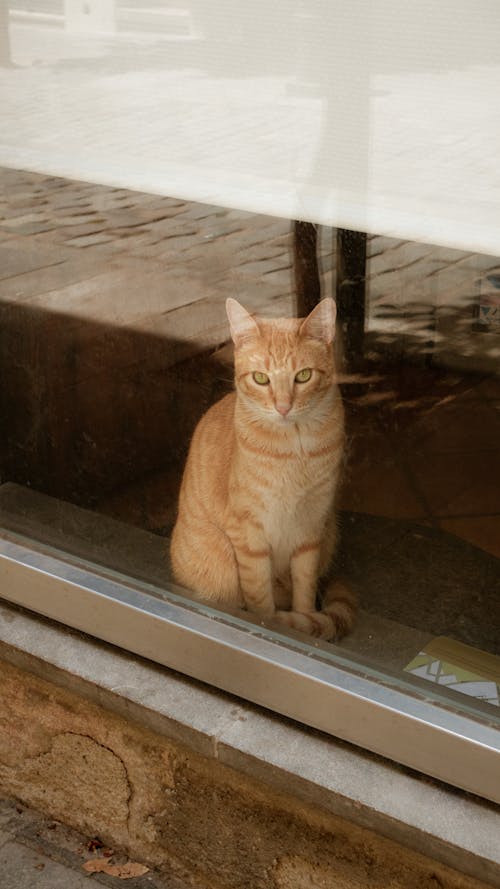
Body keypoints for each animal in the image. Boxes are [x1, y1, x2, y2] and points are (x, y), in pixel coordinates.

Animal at [171, 298, 356, 640]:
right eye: (261, 378)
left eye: (303, 376)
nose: (283, 407)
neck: (294, 448)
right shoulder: (248, 532)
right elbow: (259, 596)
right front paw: (270, 624)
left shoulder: (311, 528)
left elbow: (305, 589)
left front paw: (302, 620)